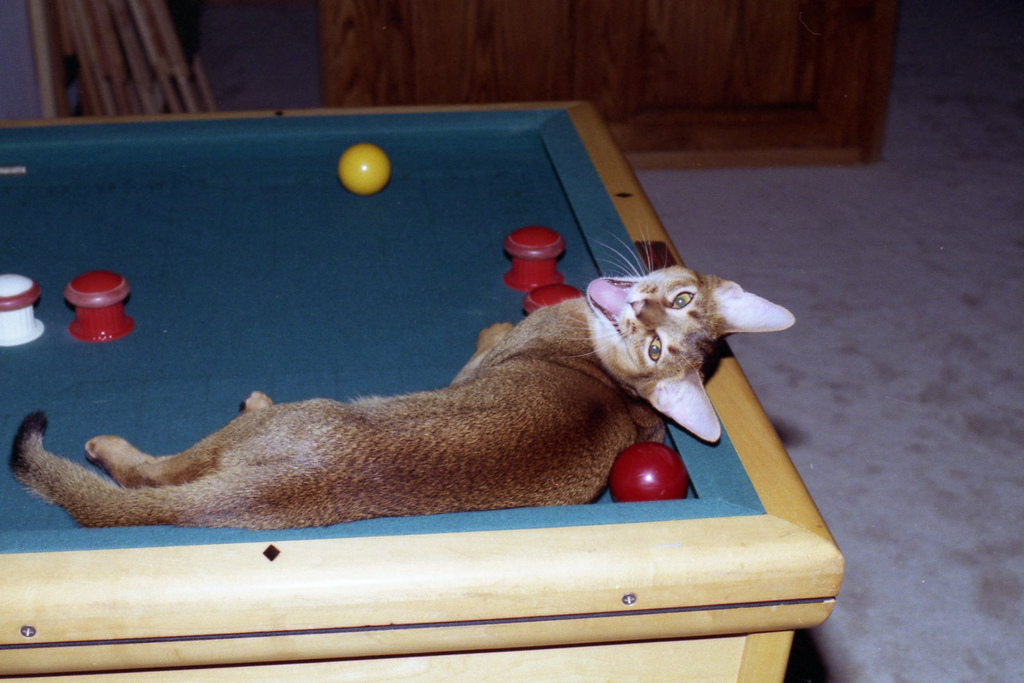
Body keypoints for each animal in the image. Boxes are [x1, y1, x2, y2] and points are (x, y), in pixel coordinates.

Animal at [11, 266, 794, 530]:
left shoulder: (481, 360)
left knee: (153, 475)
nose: (640, 307)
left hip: (269, 425)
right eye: (679, 302)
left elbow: (489, 336)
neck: (612, 384)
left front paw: (495, 321)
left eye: (659, 338)